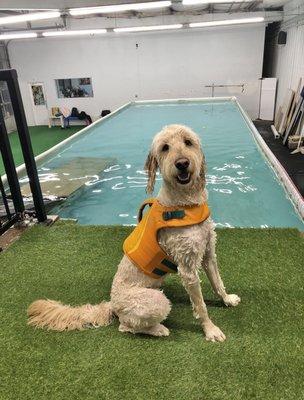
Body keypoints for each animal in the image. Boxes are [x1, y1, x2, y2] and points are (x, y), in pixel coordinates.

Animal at [29, 124, 242, 340]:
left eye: (188, 142)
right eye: (165, 147)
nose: (182, 163)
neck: (186, 203)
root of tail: (112, 304)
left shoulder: (208, 252)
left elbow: (217, 282)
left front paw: (226, 299)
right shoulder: (187, 268)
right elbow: (200, 306)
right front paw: (210, 329)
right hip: (155, 301)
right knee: (127, 326)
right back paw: (159, 329)